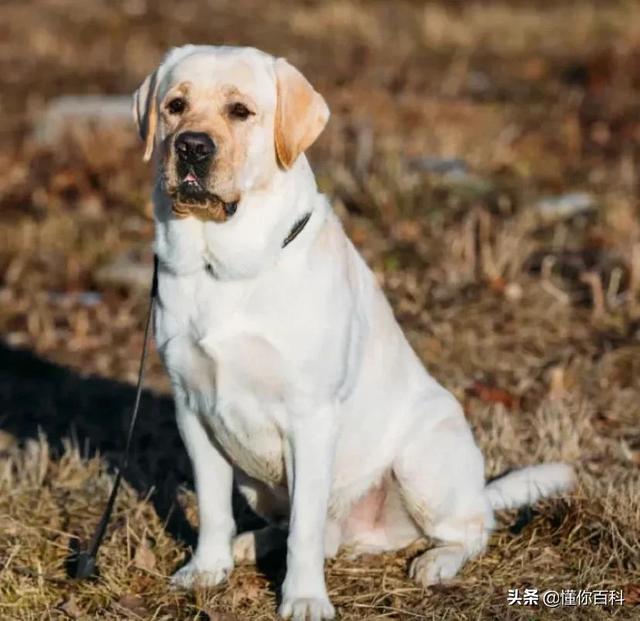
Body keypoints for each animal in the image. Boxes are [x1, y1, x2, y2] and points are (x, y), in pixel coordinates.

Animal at [134, 46, 576, 616]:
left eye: (240, 111)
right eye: (175, 105)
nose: (191, 146)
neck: (222, 268)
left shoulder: (310, 417)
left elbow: (304, 529)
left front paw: (303, 599)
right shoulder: (194, 408)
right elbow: (213, 507)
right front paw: (207, 568)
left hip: (422, 460)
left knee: (471, 528)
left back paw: (437, 562)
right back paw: (249, 542)